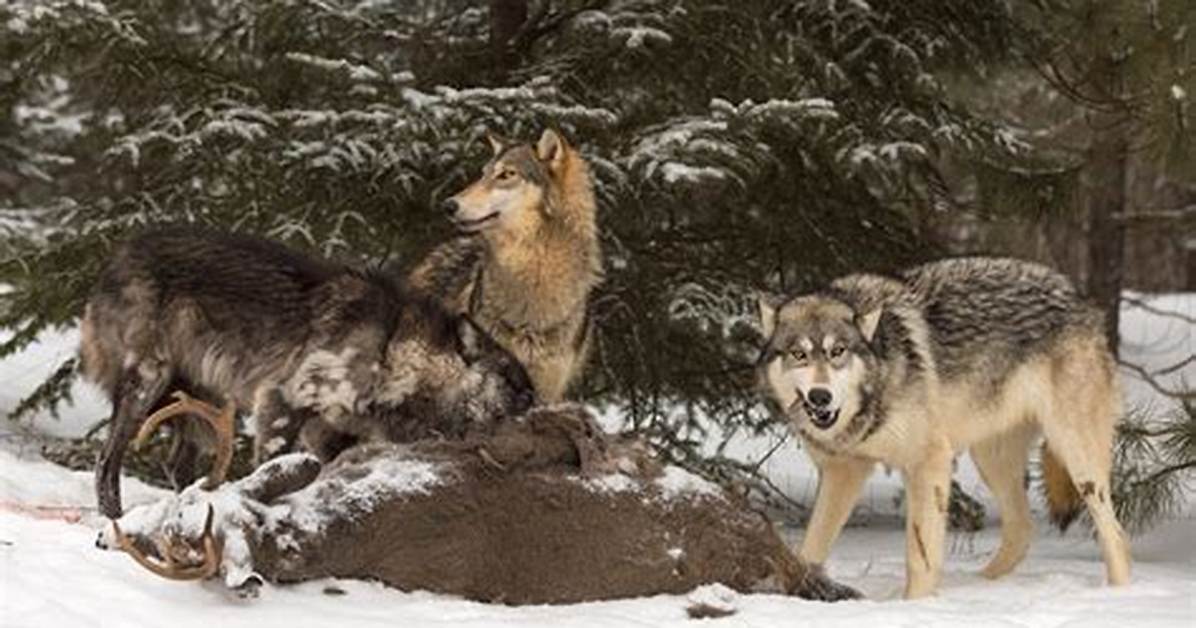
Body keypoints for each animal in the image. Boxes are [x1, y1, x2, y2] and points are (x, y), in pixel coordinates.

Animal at [83, 227, 535, 518]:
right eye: (515, 386)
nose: (539, 411)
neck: (392, 346)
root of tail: (114, 261)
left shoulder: (329, 435)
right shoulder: (283, 405)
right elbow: (270, 471)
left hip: (202, 404)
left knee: (177, 466)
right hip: (147, 385)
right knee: (106, 462)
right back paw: (113, 521)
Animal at [757, 257, 1131, 598]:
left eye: (838, 351)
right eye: (798, 354)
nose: (820, 397)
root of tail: (1081, 301)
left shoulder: (928, 462)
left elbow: (920, 555)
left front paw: (916, 606)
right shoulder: (843, 471)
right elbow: (810, 548)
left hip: (1078, 459)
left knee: (1114, 532)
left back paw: (1117, 593)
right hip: (992, 460)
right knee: (1022, 529)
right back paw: (980, 585)